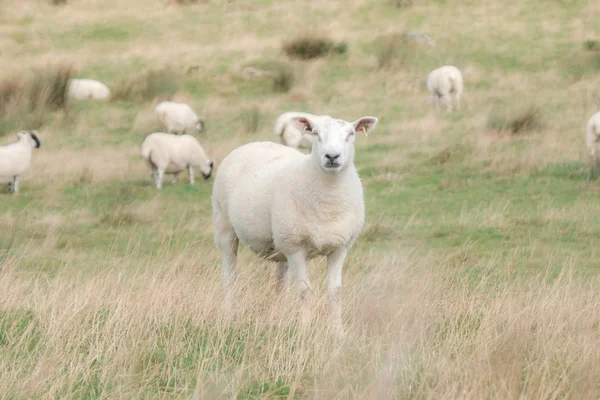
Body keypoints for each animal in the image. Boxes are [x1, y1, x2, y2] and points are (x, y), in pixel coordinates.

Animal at [213, 113, 378, 334]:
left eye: (351, 134)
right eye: (315, 133)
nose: (332, 156)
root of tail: (254, 143)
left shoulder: (340, 247)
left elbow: (335, 292)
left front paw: (338, 332)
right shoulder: (297, 248)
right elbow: (304, 290)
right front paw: (305, 330)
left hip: (282, 242)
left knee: (280, 285)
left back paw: (278, 318)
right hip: (226, 228)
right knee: (230, 275)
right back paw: (229, 314)